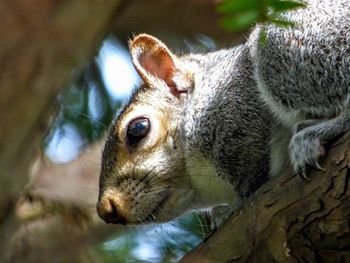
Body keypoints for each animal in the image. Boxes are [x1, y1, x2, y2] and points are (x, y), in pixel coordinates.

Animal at [96, 0, 350, 226]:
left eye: (138, 128)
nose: (106, 210)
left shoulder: (235, 106)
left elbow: (249, 175)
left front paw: (230, 209)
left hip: (287, 44)